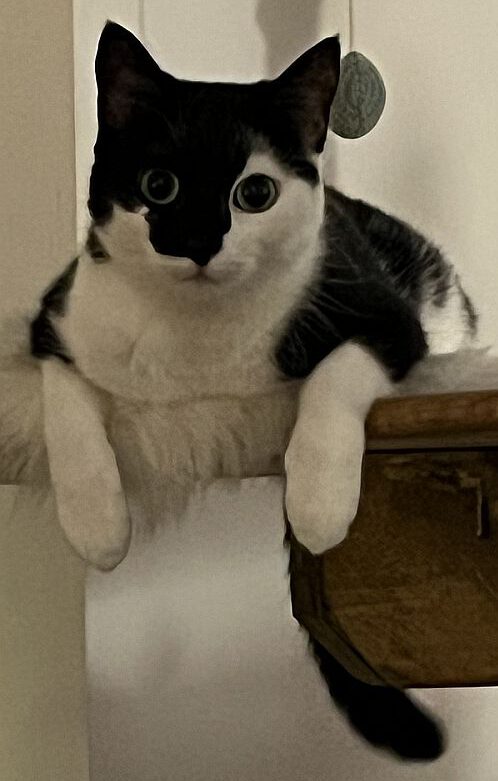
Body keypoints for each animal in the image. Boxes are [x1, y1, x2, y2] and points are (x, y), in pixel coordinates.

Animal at [22, 21, 479, 759]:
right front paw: (97, 525)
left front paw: (319, 504)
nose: (200, 243)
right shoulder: (54, 316)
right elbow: (66, 406)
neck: (199, 340)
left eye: (254, 193)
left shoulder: (383, 315)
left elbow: (335, 373)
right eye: (159, 184)